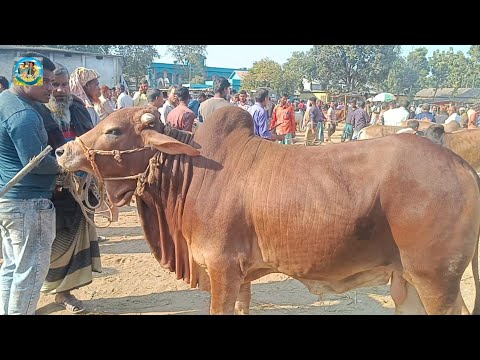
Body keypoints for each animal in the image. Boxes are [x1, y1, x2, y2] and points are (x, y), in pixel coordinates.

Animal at [55, 105, 480, 314]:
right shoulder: (241, 276)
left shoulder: (221, 270)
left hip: (435, 281)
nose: (61, 150)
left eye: (114, 130)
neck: (193, 174)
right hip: (405, 283)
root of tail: (462, 166)